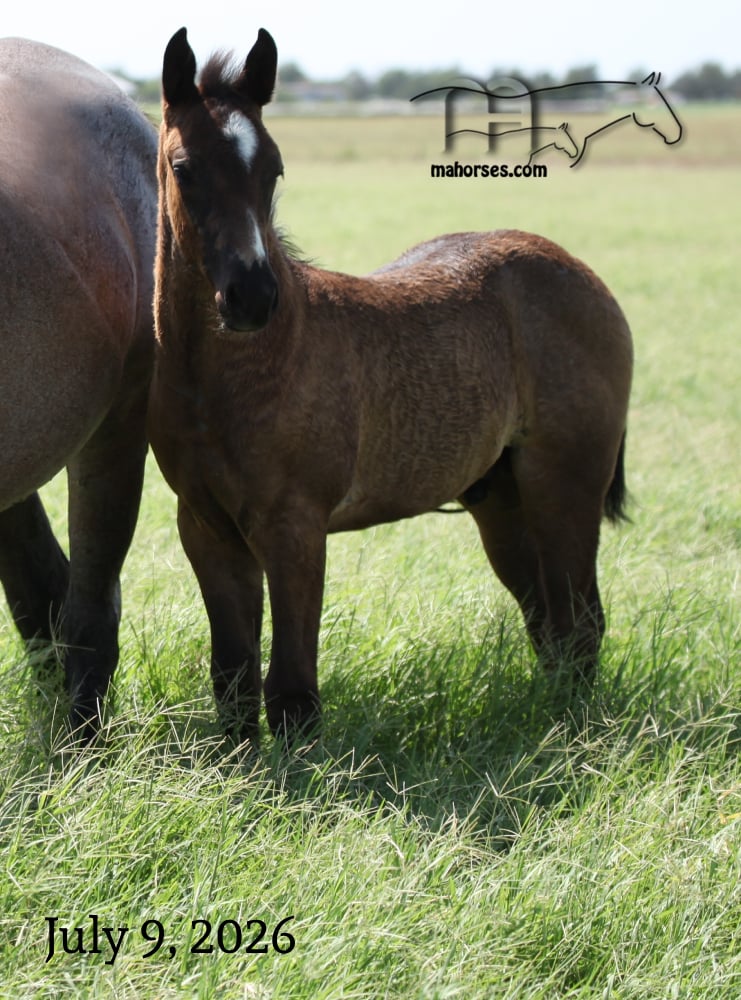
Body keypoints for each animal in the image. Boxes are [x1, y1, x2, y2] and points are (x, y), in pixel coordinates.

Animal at [149, 27, 633, 745]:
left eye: (274, 170)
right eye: (184, 168)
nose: (251, 297)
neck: (236, 374)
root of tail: (582, 275)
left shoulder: (295, 526)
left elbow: (291, 689)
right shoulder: (206, 527)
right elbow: (232, 679)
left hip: (564, 486)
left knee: (580, 624)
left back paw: (570, 735)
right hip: (502, 499)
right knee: (548, 623)